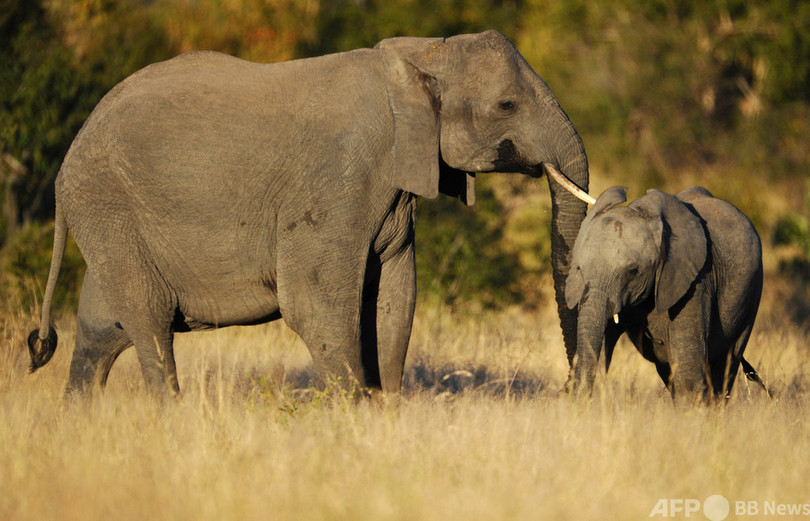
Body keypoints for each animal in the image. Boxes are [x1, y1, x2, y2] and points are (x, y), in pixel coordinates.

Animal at [30, 30, 588, 398]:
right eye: (507, 105)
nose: (569, 390)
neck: (422, 54)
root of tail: (68, 158)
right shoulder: (336, 179)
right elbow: (315, 302)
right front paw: (353, 416)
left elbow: (394, 298)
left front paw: (385, 413)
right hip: (106, 202)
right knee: (148, 321)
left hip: (112, 216)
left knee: (103, 328)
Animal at [560, 187, 764, 402]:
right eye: (579, 269)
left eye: (633, 271)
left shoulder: (695, 279)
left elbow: (688, 375)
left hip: (752, 291)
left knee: (727, 363)